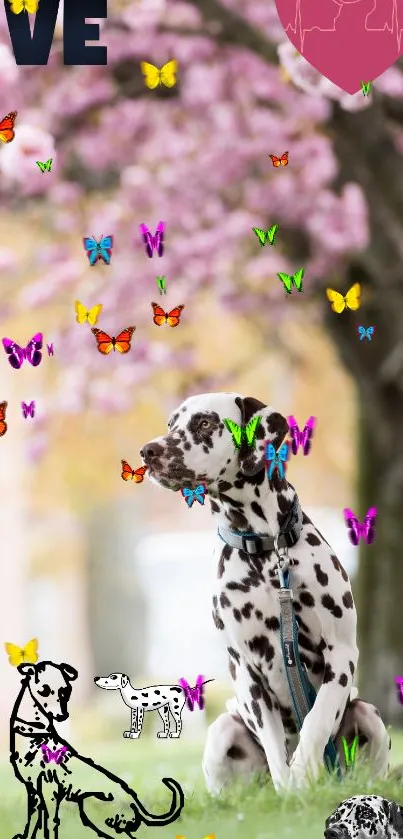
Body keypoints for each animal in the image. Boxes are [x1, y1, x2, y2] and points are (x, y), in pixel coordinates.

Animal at [141, 394, 392, 796]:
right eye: (170, 425)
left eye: (205, 424)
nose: (149, 451)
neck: (264, 549)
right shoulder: (246, 671)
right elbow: (276, 750)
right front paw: (290, 791)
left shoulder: (341, 653)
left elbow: (317, 721)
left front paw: (304, 772)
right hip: (222, 730)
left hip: (369, 716)